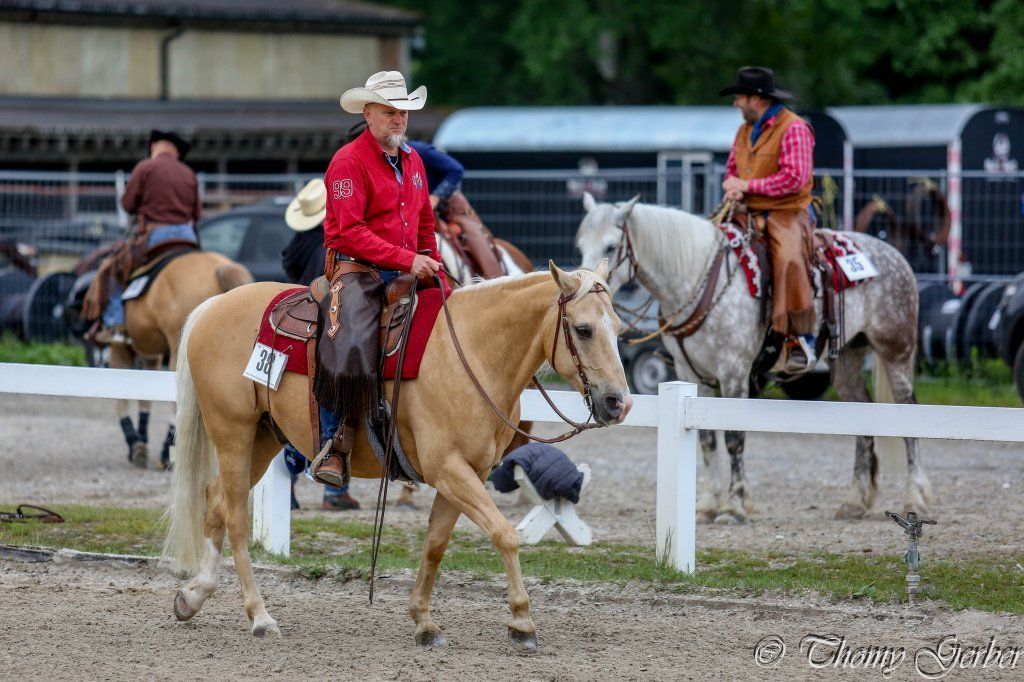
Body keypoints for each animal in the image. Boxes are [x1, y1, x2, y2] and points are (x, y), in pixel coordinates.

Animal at [109, 252, 252, 469]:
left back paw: (168, 452)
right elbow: (144, 398)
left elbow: (121, 398)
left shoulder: (120, 348)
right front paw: (141, 441)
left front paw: (136, 445)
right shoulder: (151, 355)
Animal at [163, 261, 630, 645]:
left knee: (215, 503)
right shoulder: (450, 469)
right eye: (584, 329)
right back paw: (260, 618)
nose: (618, 403)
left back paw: (193, 596)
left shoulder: (469, 473)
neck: (473, 353)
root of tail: (212, 307)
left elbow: (436, 544)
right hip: (233, 433)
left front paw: (423, 621)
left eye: (619, 328)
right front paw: (522, 622)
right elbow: (505, 535)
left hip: (263, 438)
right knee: (236, 518)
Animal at [576, 193, 932, 524]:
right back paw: (854, 501)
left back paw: (915, 497)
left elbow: (733, 438)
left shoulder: (734, 370)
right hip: (847, 359)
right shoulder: (692, 373)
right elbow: (707, 440)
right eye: (581, 244)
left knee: (909, 413)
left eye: (611, 246)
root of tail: (893, 255)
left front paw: (733, 506)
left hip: (896, 351)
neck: (699, 278)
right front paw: (707, 504)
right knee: (863, 417)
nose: (586, 290)